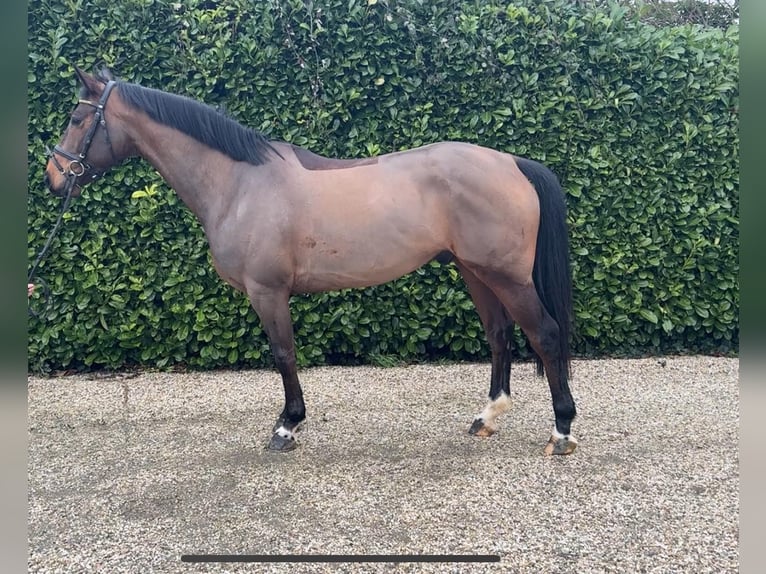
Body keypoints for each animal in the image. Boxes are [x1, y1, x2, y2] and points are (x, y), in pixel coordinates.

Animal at [43, 66, 577, 455]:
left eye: (76, 117)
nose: (54, 176)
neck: (239, 182)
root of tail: (511, 163)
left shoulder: (268, 291)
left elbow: (284, 354)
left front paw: (287, 427)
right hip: (475, 271)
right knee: (499, 334)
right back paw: (486, 418)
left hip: (506, 276)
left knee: (546, 334)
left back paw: (562, 431)